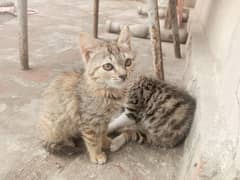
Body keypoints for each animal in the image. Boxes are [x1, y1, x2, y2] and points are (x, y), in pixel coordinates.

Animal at [37, 27, 135, 165]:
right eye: (108, 66)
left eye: (128, 62)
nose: (123, 75)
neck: (107, 91)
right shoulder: (88, 120)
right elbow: (93, 139)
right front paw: (97, 154)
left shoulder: (104, 118)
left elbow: (103, 130)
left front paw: (105, 141)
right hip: (55, 125)